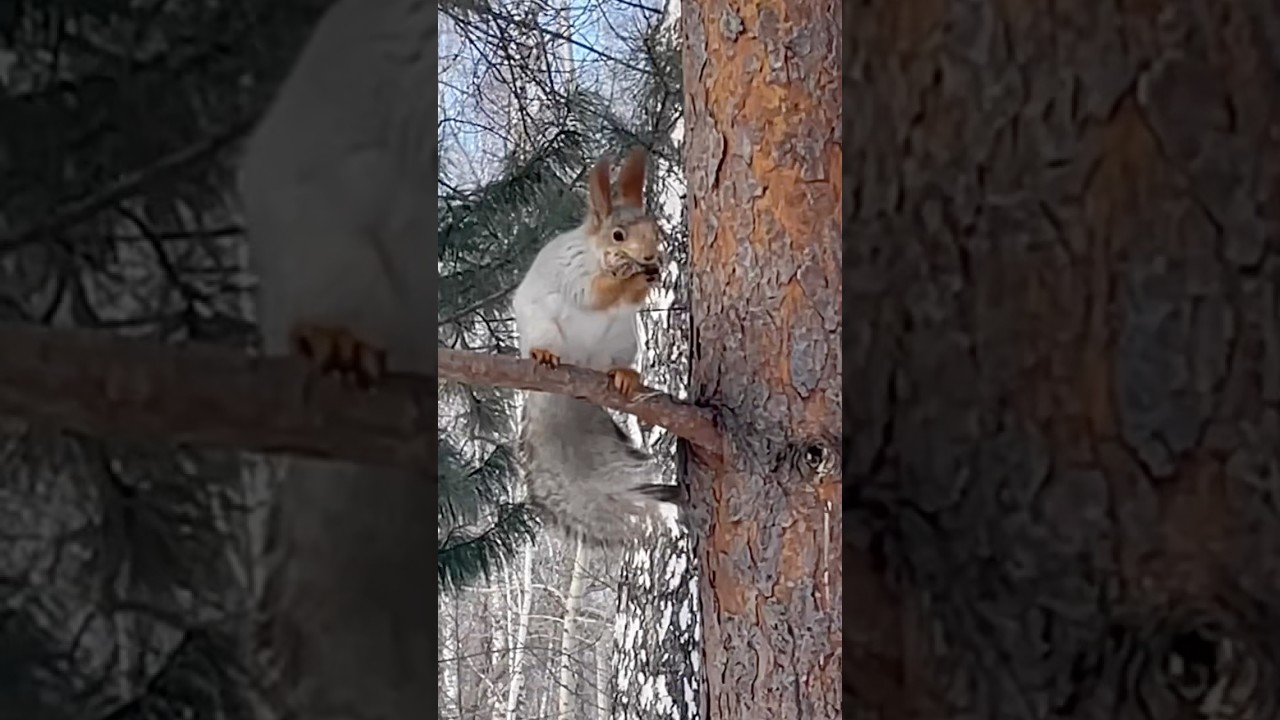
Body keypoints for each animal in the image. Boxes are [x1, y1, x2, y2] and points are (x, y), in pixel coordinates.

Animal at [513, 147, 681, 548]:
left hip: (621, 340)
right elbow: (596, 293)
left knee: (612, 363)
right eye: (618, 235)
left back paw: (623, 375)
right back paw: (543, 354)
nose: (650, 258)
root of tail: (579, 370)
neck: (598, 254)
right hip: (544, 327)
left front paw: (651, 276)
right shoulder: (577, 275)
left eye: (656, 230)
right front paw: (630, 278)